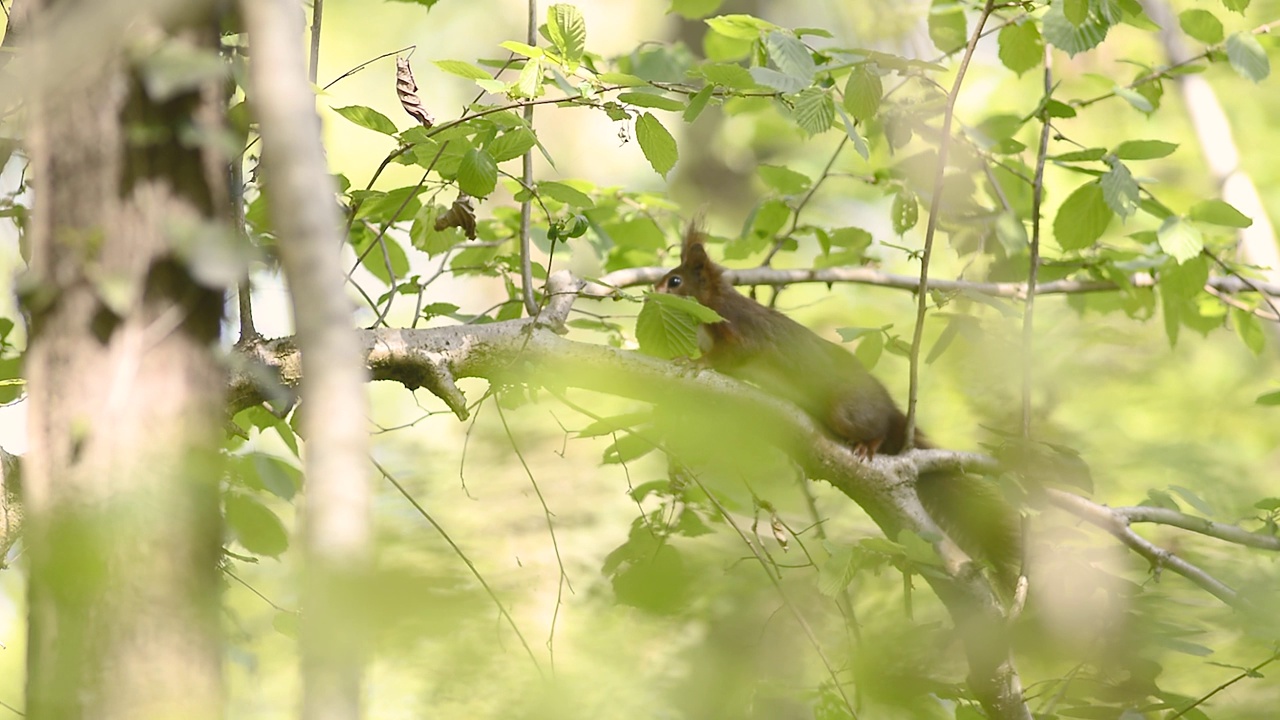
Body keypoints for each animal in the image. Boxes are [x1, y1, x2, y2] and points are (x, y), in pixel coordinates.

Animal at [660, 225, 1018, 589]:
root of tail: (890, 408)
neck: (709, 305)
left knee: (877, 427)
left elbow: (732, 355)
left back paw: (868, 444)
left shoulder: (736, 328)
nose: (652, 291)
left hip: (848, 410)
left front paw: (696, 362)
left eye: (675, 281)